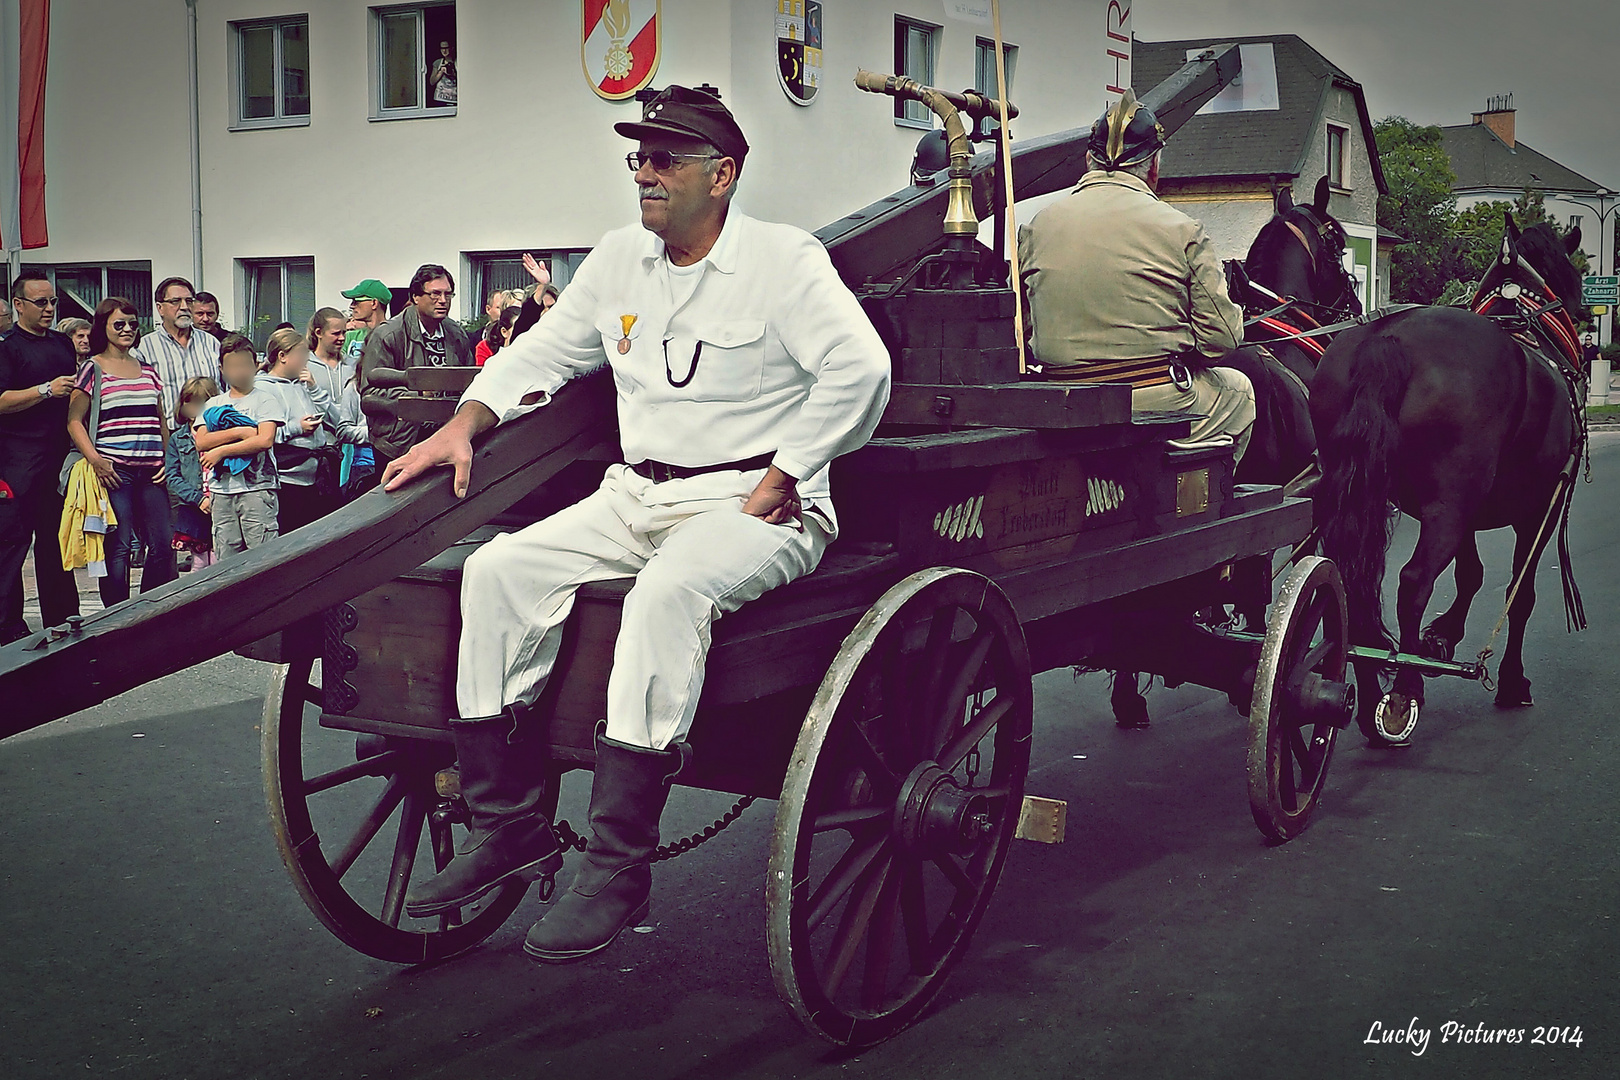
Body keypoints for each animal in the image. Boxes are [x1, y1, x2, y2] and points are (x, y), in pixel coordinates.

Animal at [1315, 215, 1581, 748]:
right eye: (1572, 276)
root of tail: (1388, 339)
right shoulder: (1538, 510)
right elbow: (1519, 593)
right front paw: (1513, 681)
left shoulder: (1469, 512)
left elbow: (1471, 572)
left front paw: (1443, 635)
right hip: (1449, 509)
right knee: (1414, 581)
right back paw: (1402, 692)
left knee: (1348, 582)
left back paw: (1368, 696)